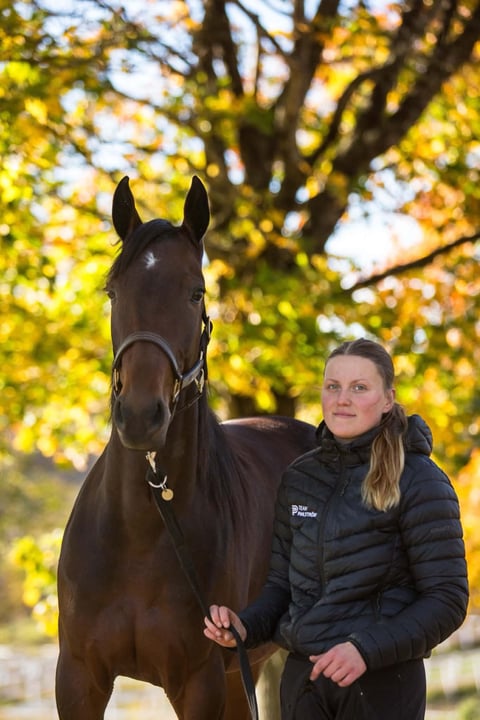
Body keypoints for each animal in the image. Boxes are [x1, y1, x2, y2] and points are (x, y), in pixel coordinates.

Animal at [55, 175, 317, 720]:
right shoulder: (78, 679)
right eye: (113, 291)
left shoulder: (200, 684)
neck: (141, 530)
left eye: (196, 293)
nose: (140, 415)